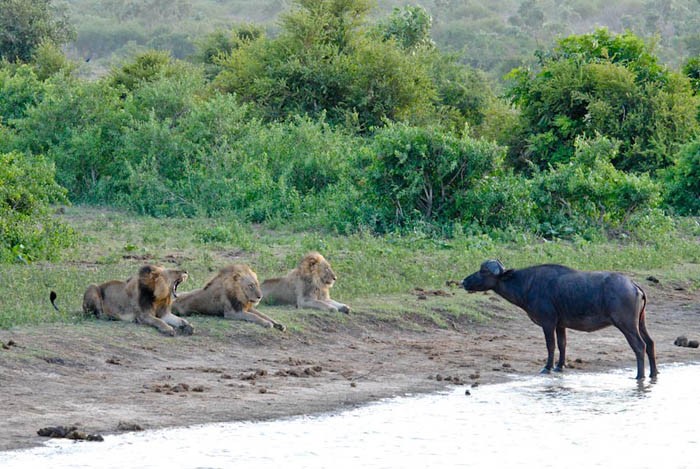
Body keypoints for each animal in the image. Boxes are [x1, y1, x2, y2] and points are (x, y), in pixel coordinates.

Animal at [462, 260, 660, 380]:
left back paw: (640, 376)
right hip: (640, 322)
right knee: (650, 343)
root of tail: (633, 285)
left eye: (483, 271)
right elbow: (563, 344)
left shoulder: (548, 323)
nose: (464, 281)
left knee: (639, 346)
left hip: (627, 324)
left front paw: (547, 367)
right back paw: (653, 373)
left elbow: (551, 345)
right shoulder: (560, 325)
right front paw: (560, 366)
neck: (527, 285)